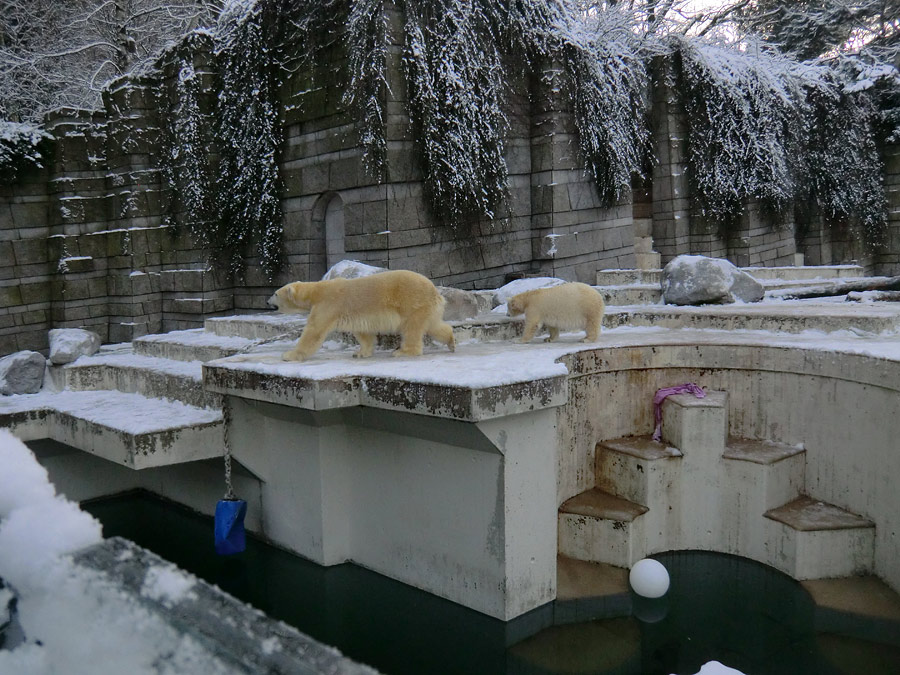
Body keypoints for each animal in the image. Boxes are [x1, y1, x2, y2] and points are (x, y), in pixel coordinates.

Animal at [266, 272, 450, 362]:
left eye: (275, 293)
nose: (267, 302)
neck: (316, 292)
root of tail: (435, 291)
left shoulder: (328, 304)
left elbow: (314, 331)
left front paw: (289, 355)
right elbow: (363, 333)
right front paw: (361, 353)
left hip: (412, 303)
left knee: (411, 328)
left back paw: (403, 352)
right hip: (426, 307)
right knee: (433, 325)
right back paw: (451, 341)